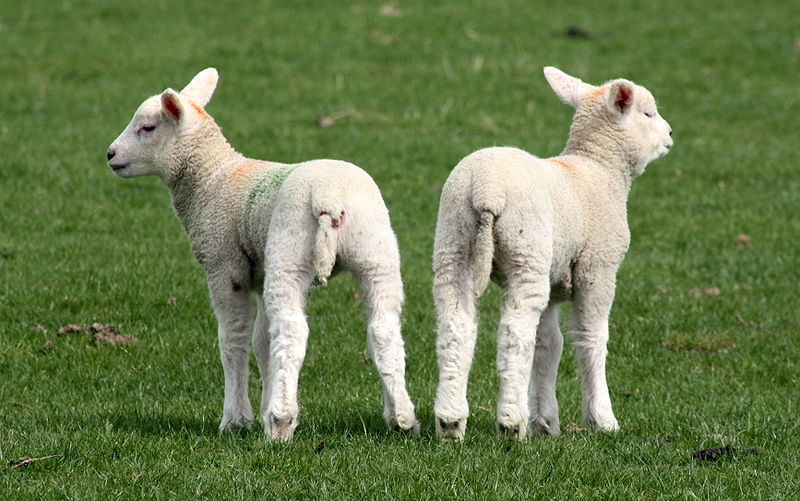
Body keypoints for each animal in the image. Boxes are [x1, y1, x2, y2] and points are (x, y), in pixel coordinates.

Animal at [106, 68, 418, 441]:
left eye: (148, 127)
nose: (110, 154)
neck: (212, 179)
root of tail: (331, 197)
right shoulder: (261, 275)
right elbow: (262, 344)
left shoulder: (224, 266)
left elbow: (234, 340)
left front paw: (236, 418)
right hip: (376, 253)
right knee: (383, 330)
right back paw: (401, 416)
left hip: (289, 254)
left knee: (293, 332)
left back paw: (280, 420)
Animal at [432, 67, 673, 440]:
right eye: (648, 113)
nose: (670, 135)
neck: (597, 168)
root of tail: (485, 189)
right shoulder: (597, 268)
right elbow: (591, 338)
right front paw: (602, 418)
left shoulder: (554, 279)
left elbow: (548, 344)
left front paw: (545, 420)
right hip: (526, 250)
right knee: (515, 331)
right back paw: (511, 422)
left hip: (454, 242)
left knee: (455, 325)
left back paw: (451, 420)